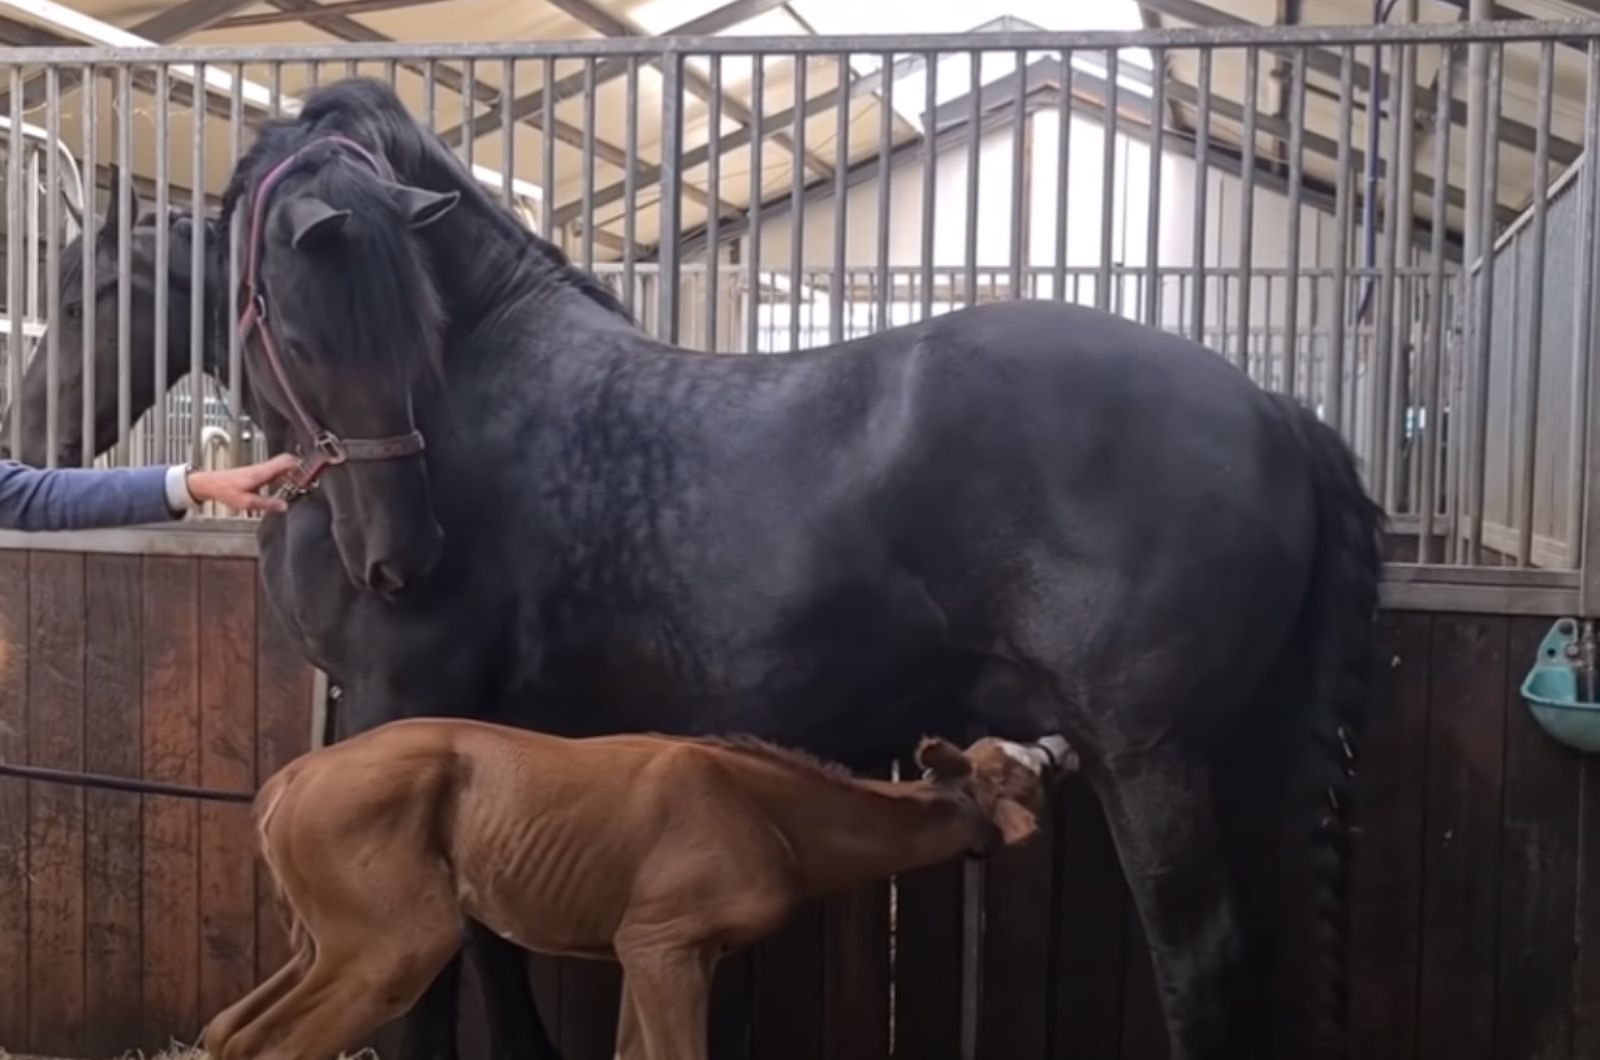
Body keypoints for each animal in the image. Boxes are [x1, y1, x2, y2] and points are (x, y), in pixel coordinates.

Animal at [203, 723, 1075, 1060]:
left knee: (227, 1032)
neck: (773, 816)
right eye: (1020, 776)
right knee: (271, 1045)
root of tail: (290, 780)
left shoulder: (658, 952)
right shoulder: (661, 945)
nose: (1061, 740)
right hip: (397, 946)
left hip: (327, 943)